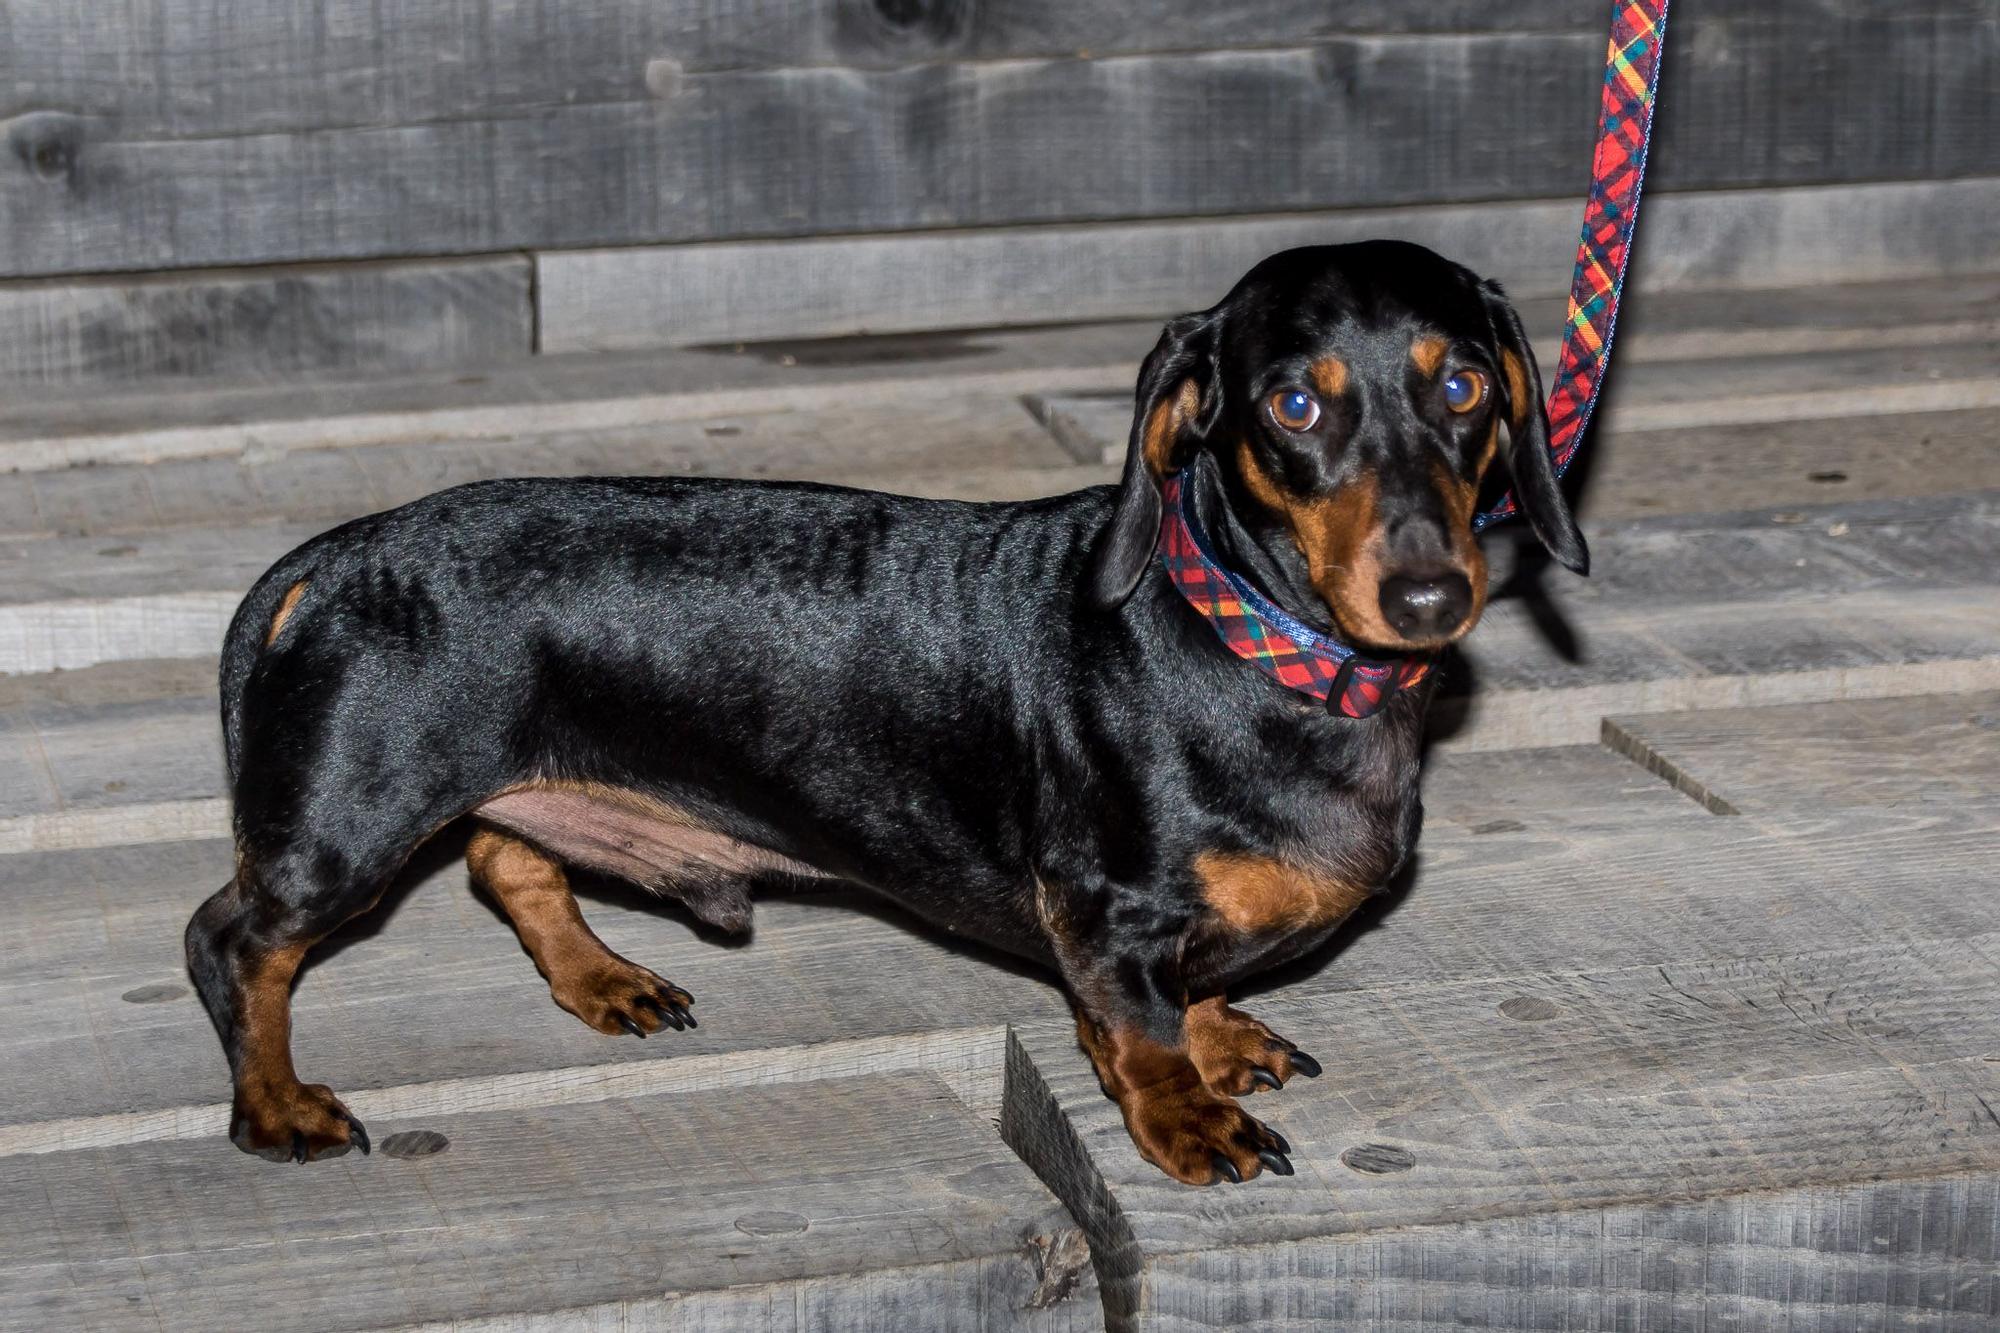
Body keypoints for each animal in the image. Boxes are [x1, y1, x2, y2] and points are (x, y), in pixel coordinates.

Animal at [191, 241, 1592, 1184]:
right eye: (1294, 404)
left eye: (1465, 387)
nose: (1430, 593)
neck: (1247, 641)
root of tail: (343, 551)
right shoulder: (1108, 909)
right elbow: (1135, 1024)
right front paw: (1186, 1115)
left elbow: (1183, 993)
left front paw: (1219, 1036)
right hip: (350, 827)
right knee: (234, 943)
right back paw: (276, 1105)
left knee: (508, 864)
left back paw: (603, 978)